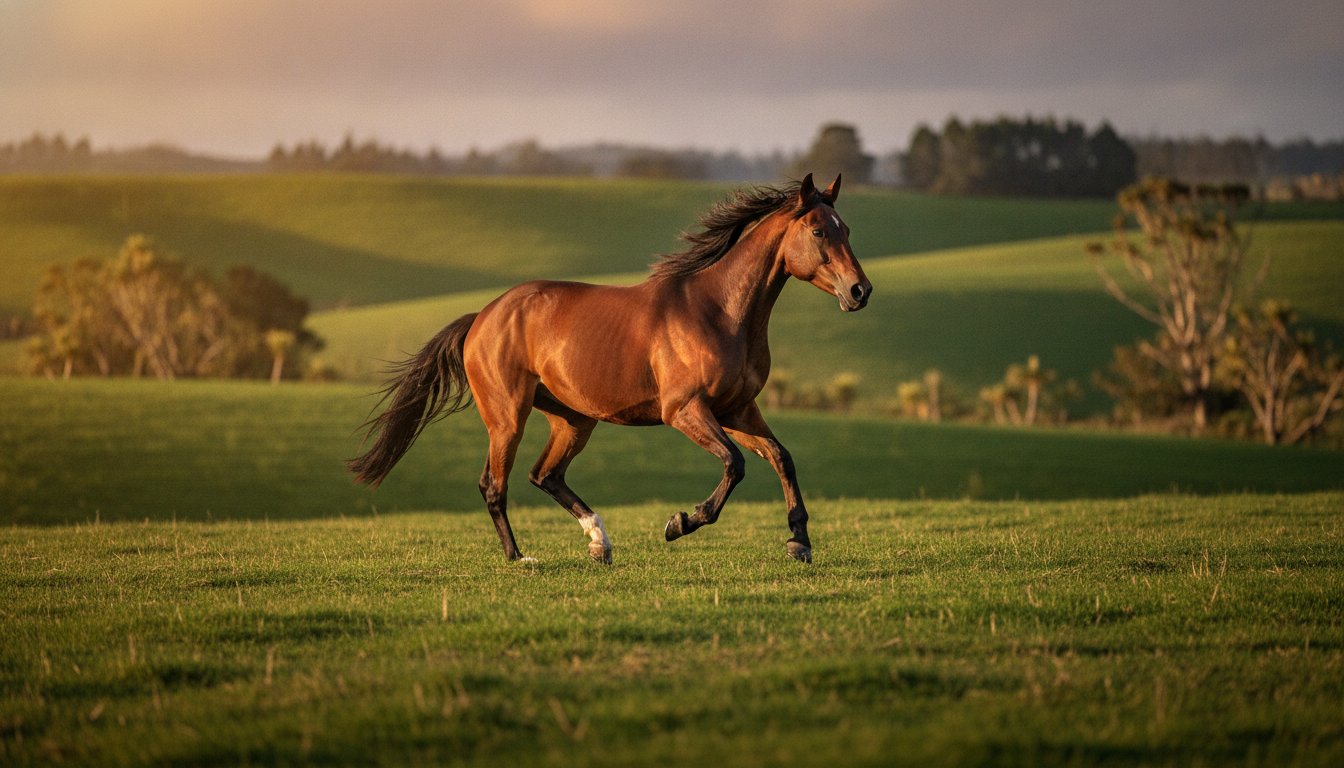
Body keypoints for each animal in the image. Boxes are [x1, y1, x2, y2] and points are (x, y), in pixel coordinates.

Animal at [347, 173, 871, 564]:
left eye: (847, 229)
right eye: (820, 231)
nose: (860, 291)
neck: (719, 312)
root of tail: (483, 317)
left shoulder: (737, 409)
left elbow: (781, 457)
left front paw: (799, 542)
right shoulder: (685, 411)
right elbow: (735, 464)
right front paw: (680, 522)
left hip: (573, 419)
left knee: (545, 475)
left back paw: (599, 542)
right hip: (508, 417)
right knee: (495, 485)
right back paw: (520, 558)